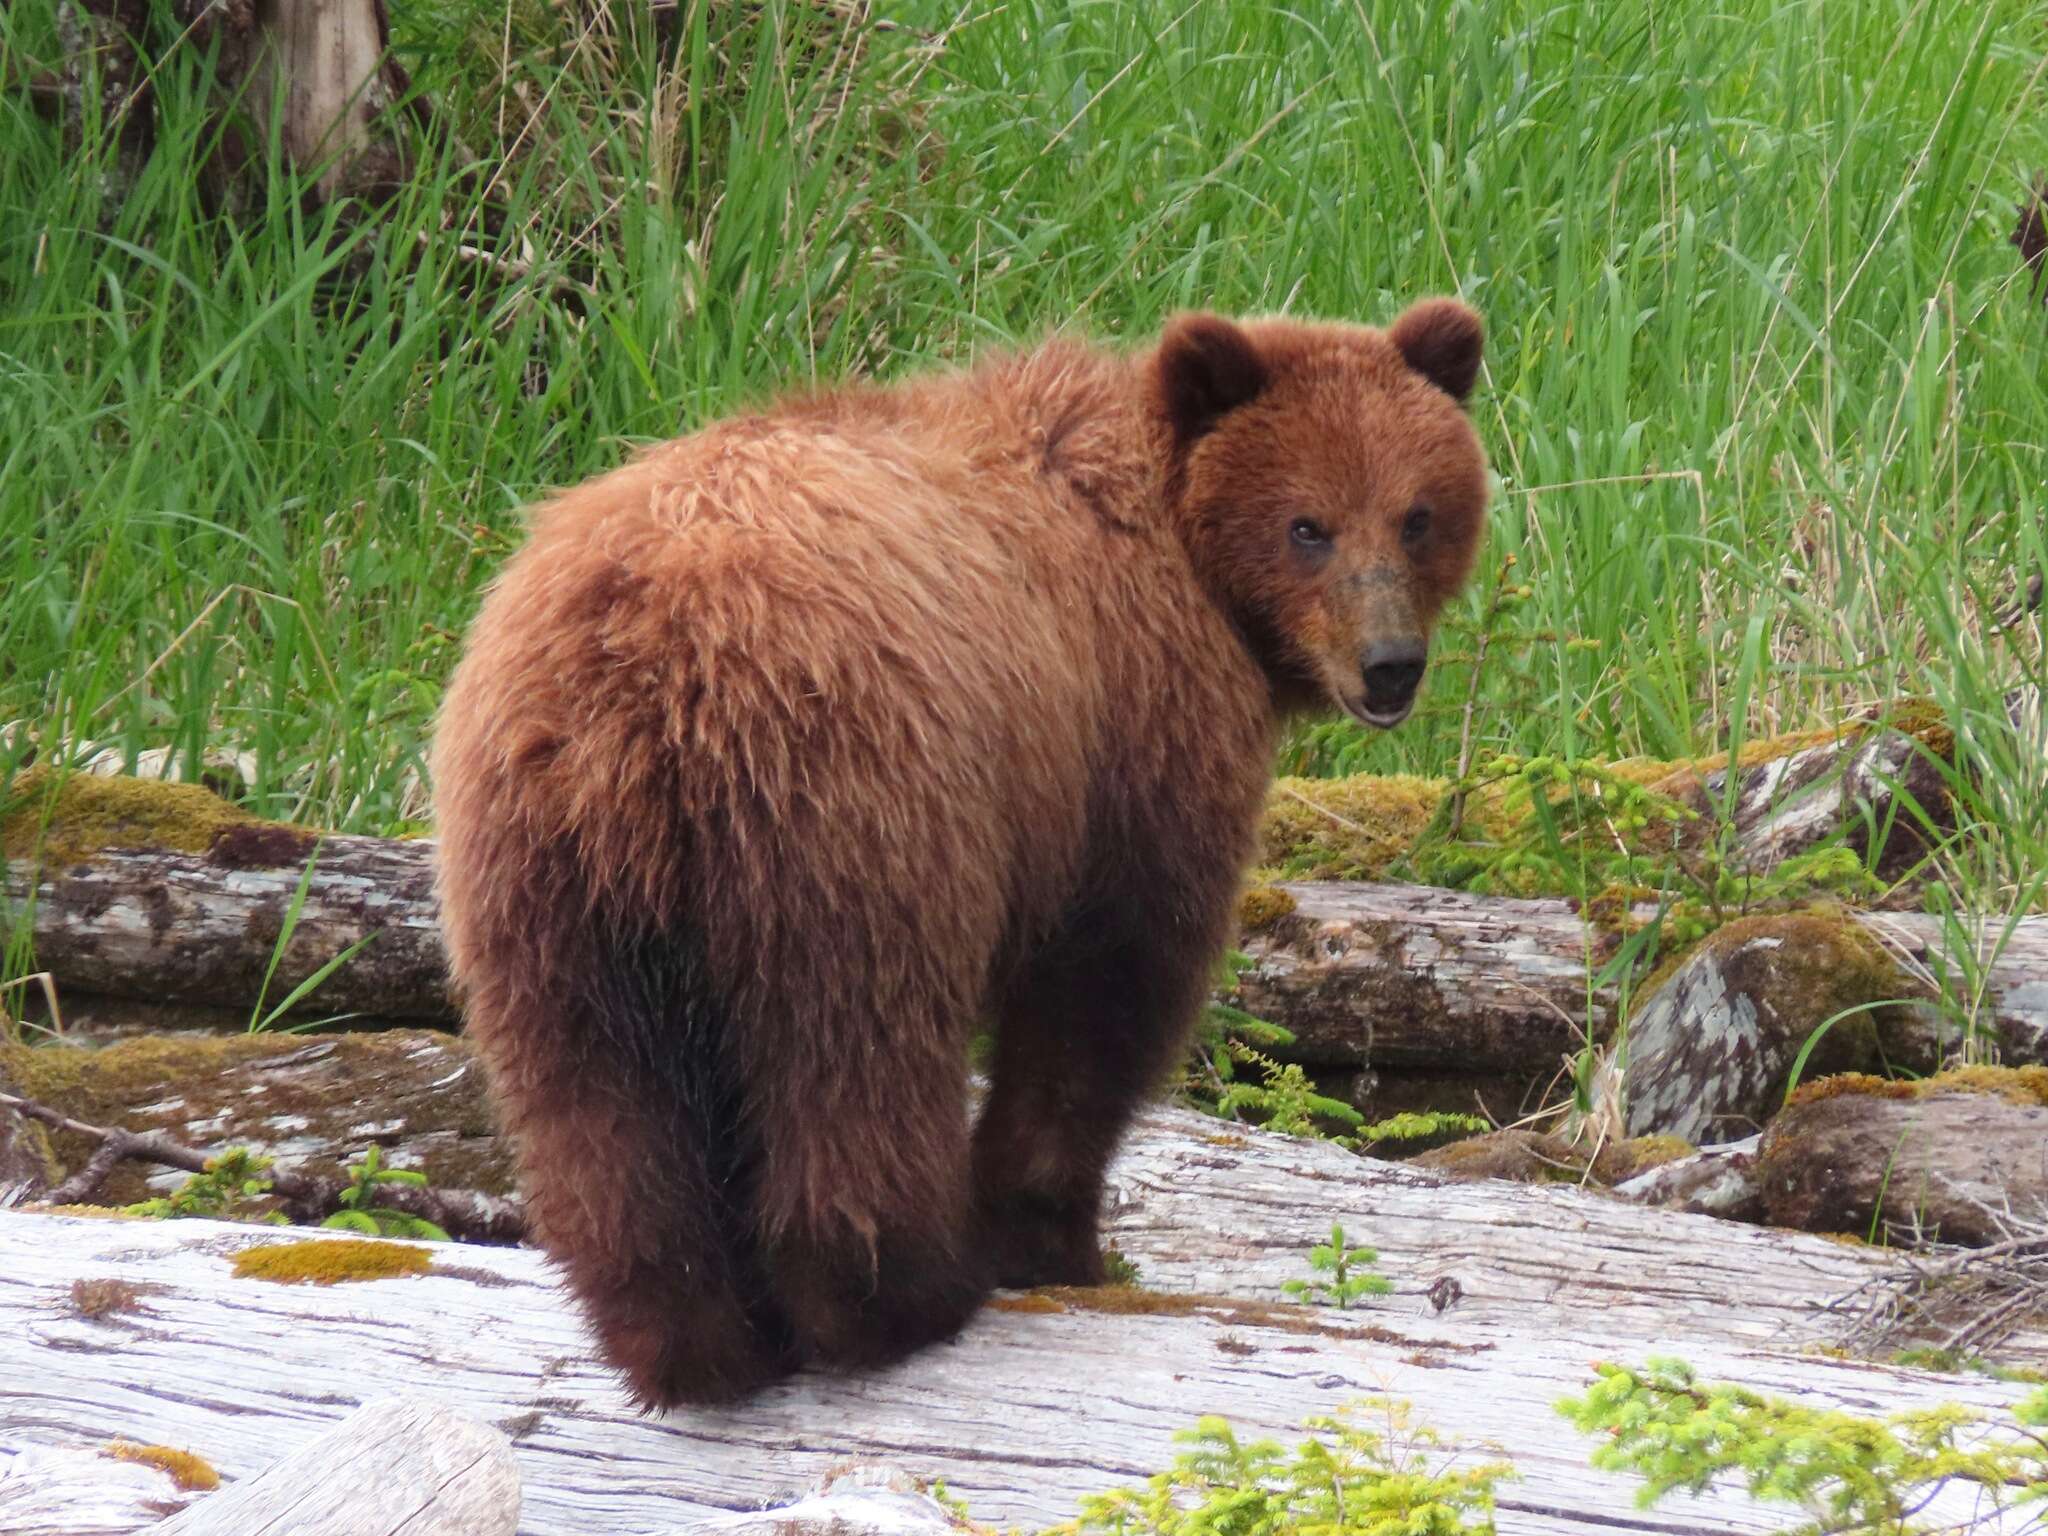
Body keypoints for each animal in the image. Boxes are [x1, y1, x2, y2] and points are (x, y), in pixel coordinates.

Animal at [428, 296, 1490, 1409]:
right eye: (1306, 526)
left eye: (1417, 514)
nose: (1389, 665)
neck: (1188, 566)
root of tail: (640, 674)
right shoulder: (1129, 733)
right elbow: (1108, 984)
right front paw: (1051, 1235)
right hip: (855, 816)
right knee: (857, 1056)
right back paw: (905, 1298)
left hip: (543, 884)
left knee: (596, 1107)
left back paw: (690, 1346)